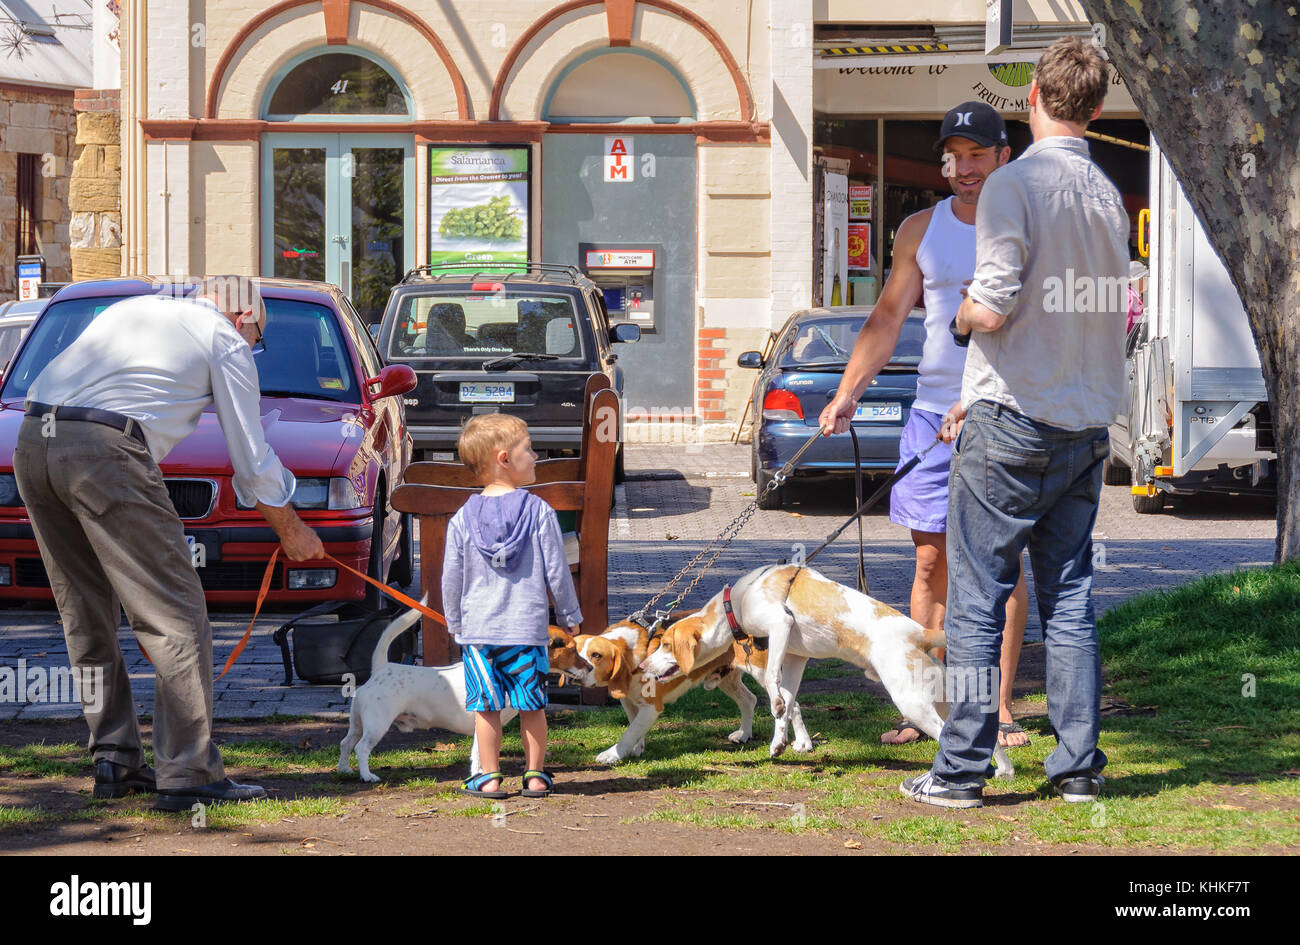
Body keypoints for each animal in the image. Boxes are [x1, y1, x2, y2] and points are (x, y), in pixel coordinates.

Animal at [340, 613, 595, 785]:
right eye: (572, 649)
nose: (591, 667)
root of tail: (381, 669)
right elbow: (481, 754)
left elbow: (478, 753)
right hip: (377, 725)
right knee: (361, 748)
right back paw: (367, 776)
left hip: (358, 724)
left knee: (346, 743)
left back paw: (345, 770)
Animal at [569, 613, 811, 759]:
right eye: (572, 652)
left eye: (596, 655)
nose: (574, 674)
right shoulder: (629, 701)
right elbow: (633, 726)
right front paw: (636, 748)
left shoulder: (651, 707)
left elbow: (629, 732)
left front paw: (613, 754)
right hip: (727, 679)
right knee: (748, 700)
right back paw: (744, 733)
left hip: (764, 675)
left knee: (793, 706)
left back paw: (803, 743)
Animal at [639, 566, 1013, 779]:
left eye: (666, 644)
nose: (642, 666)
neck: (736, 602)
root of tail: (918, 633)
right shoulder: (795, 657)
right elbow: (788, 701)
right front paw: (781, 742)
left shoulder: (780, 625)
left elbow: (776, 691)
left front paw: (782, 726)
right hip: (942, 702)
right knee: (983, 737)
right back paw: (1004, 771)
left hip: (914, 704)